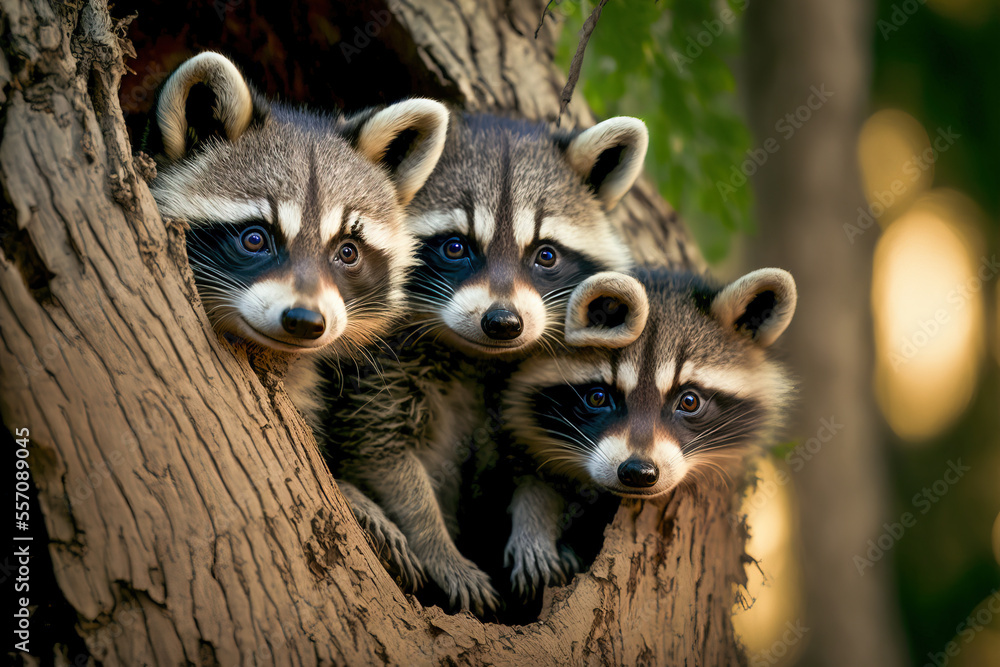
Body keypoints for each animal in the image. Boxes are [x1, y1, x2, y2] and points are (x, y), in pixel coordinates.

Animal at [315, 113, 649, 613]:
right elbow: (381, 453)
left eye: (546, 254)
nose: (503, 323)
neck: (475, 355)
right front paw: (438, 547)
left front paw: (536, 525)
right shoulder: (374, 368)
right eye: (455, 247)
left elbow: (540, 462)